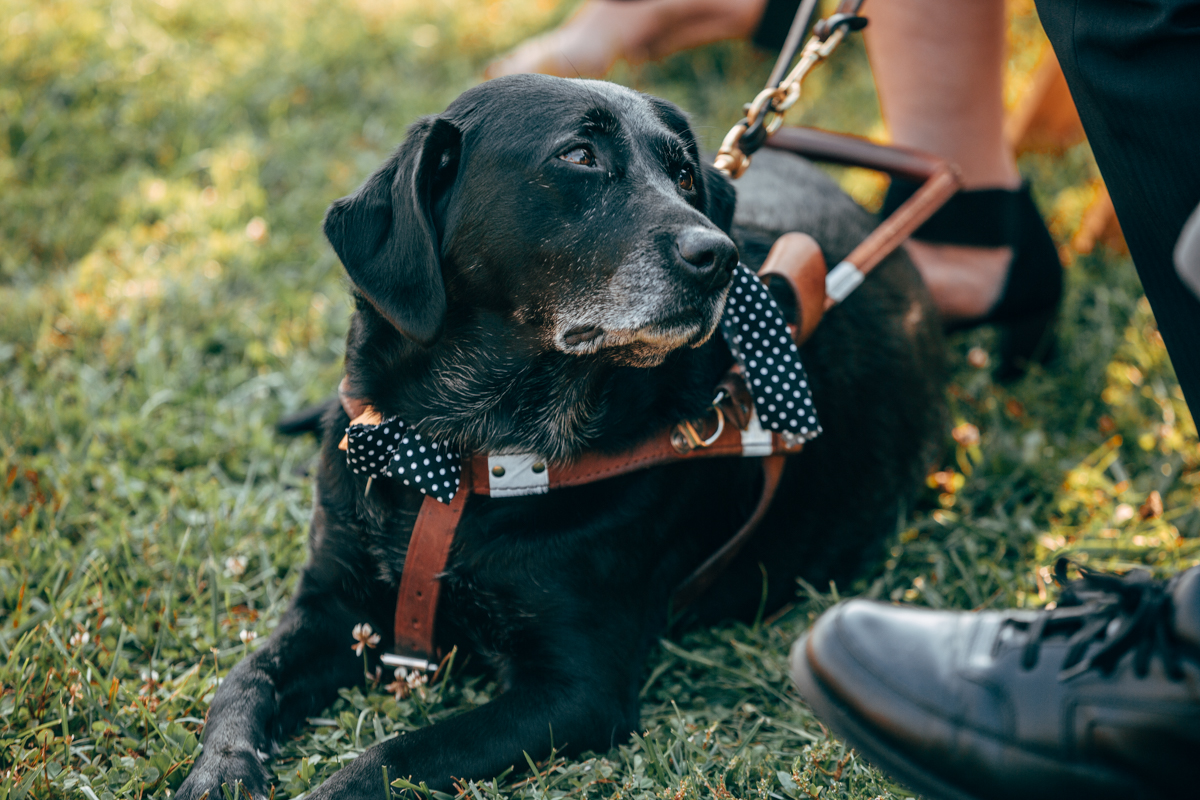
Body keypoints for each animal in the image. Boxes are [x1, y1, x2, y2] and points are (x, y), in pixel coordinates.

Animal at [180, 74, 945, 800]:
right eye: (578, 157)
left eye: (684, 175)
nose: (720, 256)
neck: (459, 448)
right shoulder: (332, 606)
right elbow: (242, 683)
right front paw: (220, 772)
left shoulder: (576, 688)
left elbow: (395, 754)